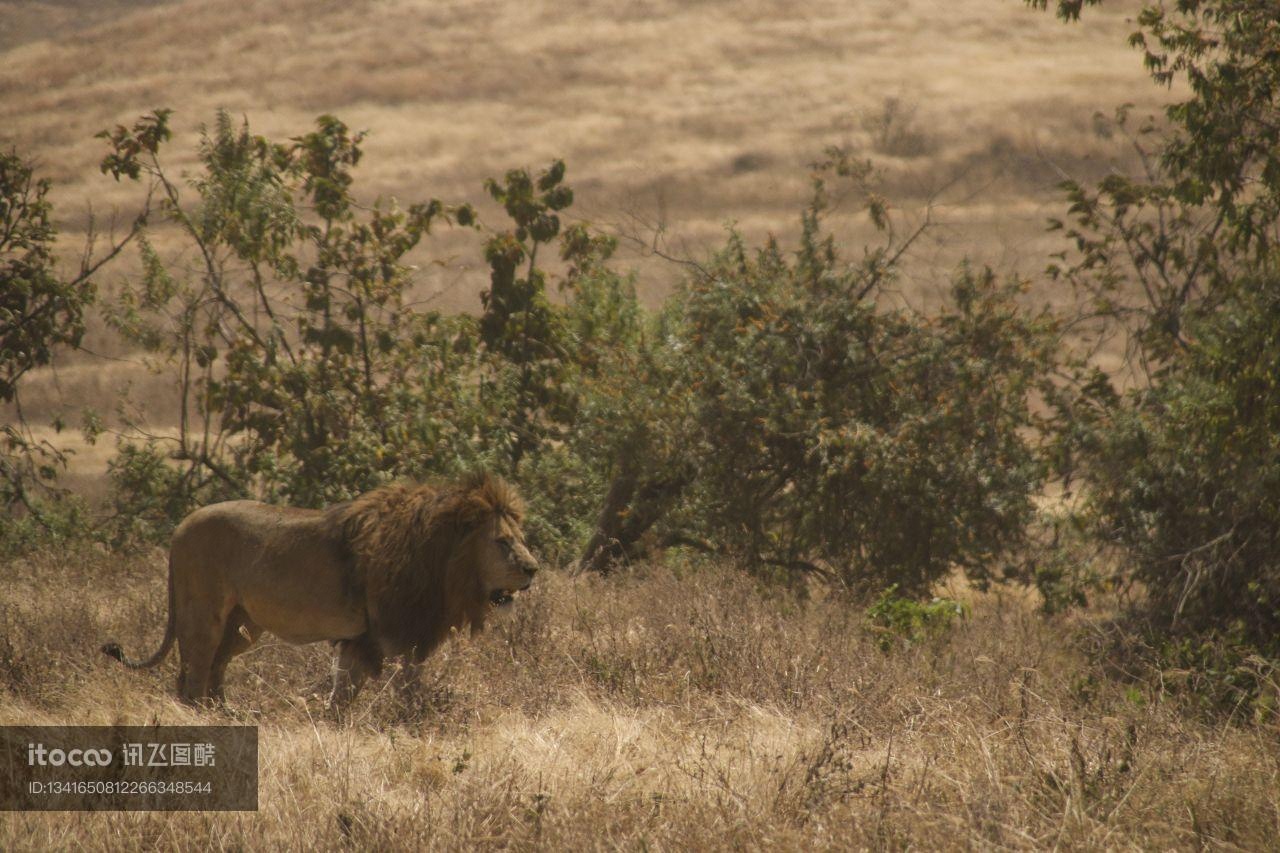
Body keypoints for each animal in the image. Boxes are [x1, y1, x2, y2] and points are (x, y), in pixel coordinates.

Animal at [102, 471, 537, 701]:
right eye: (502, 542)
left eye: (521, 537)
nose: (533, 568)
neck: (445, 564)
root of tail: (179, 528)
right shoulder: (401, 637)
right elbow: (408, 690)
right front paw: (413, 721)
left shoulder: (362, 639)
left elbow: (343, 692)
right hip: (202, 616)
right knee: (193, 675)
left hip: (242, 626)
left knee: (212, 671)